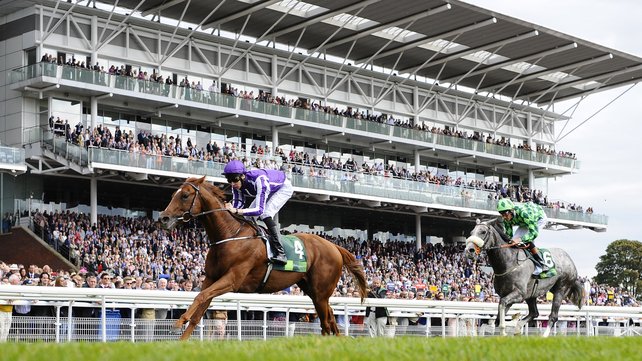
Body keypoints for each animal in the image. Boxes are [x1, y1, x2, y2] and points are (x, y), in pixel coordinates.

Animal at [158, 176, 364, 338]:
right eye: (173, 194)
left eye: (185, 195)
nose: (163, 218)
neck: (230, 235)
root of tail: (335, 246)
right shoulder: (211, 278)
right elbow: (199, 306)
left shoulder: (232, 279)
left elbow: (200, 297)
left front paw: (179, 322)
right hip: (313, 291)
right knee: (330, 320)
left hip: (321, 292)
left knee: (327, 323)